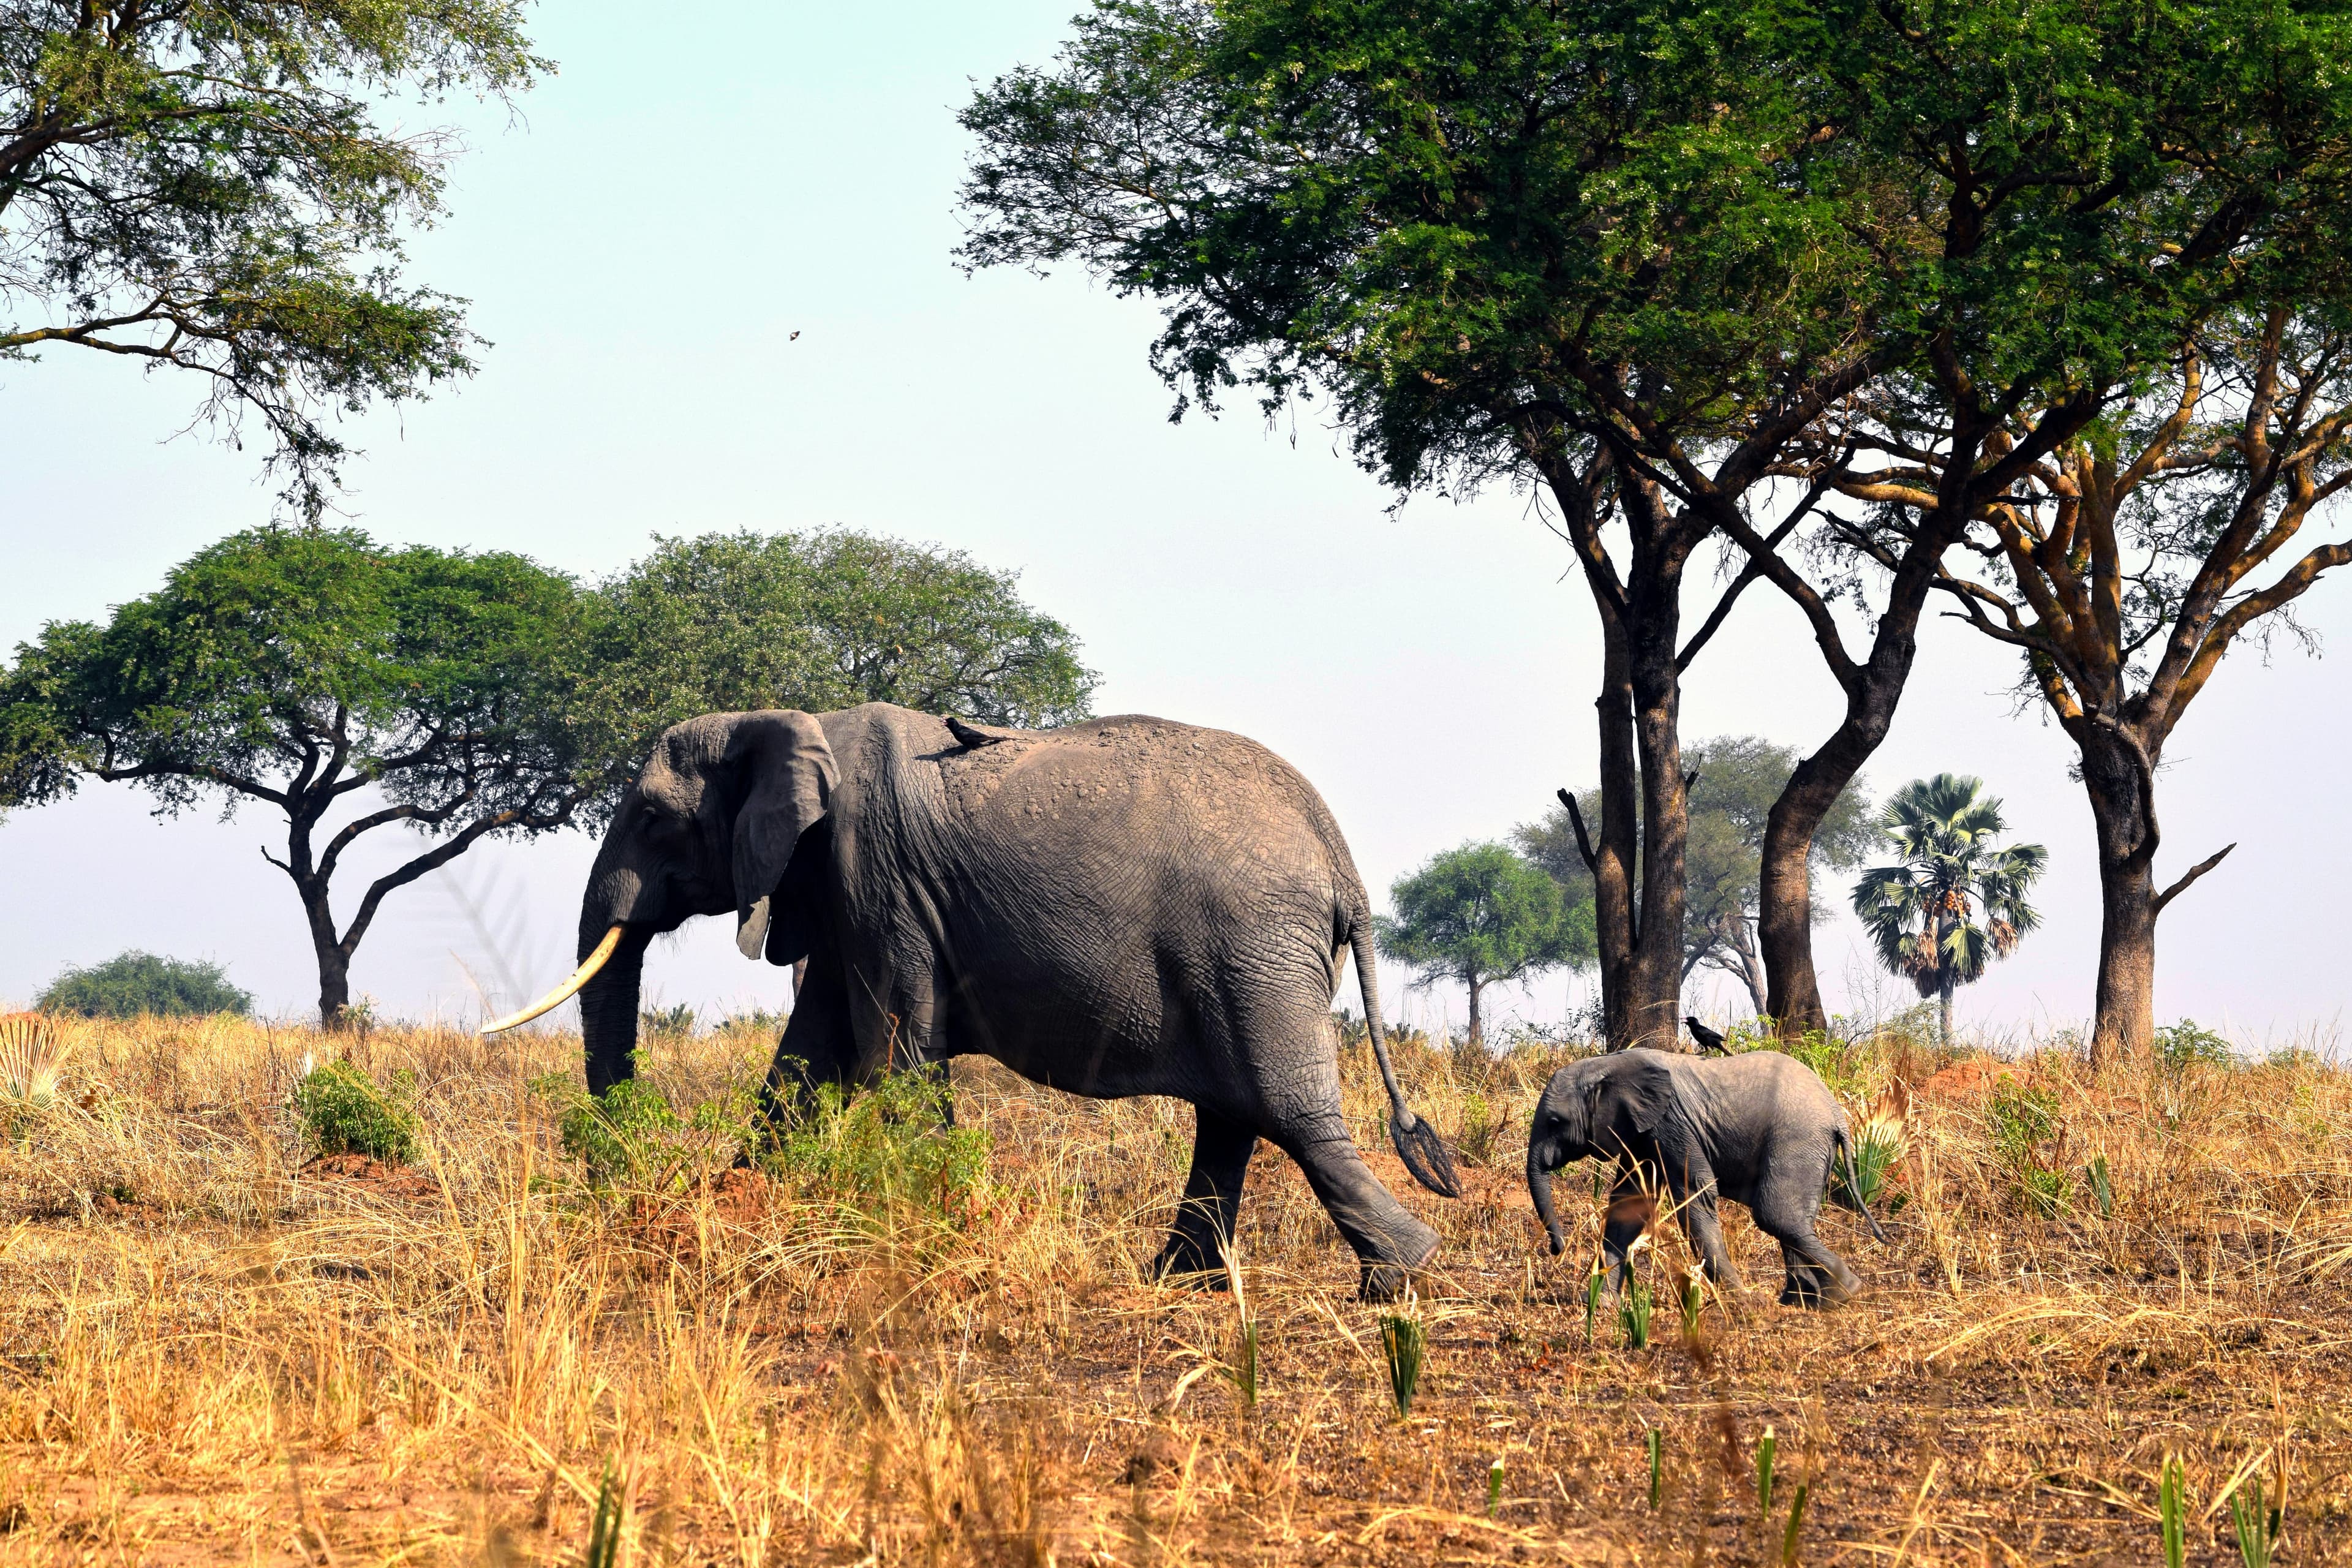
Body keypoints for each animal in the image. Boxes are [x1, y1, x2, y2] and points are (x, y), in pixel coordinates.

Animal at [486, 702, 1459, 1298]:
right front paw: (735, 1208)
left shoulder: (874, 874)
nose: (628, 1196)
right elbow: (809, 1060)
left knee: (1287, 1112)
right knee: (1234, 1117)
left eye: (654, 818)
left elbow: (891, 1056)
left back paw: (1399, 1278)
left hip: (1252, 944)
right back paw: (1176, 1283)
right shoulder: (840, 893)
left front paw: (929, 1231)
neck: (787, 722)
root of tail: (1339, 857)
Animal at [1524, 1048, 1887, 1307]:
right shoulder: (1639, 1133)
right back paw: (1801, 1301)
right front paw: (1599, 1305)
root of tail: (1838, 1115)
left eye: (1555, 1122)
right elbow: (1628, 1206)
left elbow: (1694, 1196)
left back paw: (1843, 1294)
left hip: (1797, 1139)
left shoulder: (1672, 1124)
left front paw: (1742, 1302)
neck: (1606, 1064)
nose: (1557, 1248)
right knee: (1795, 1218)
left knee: (1775, 1215)